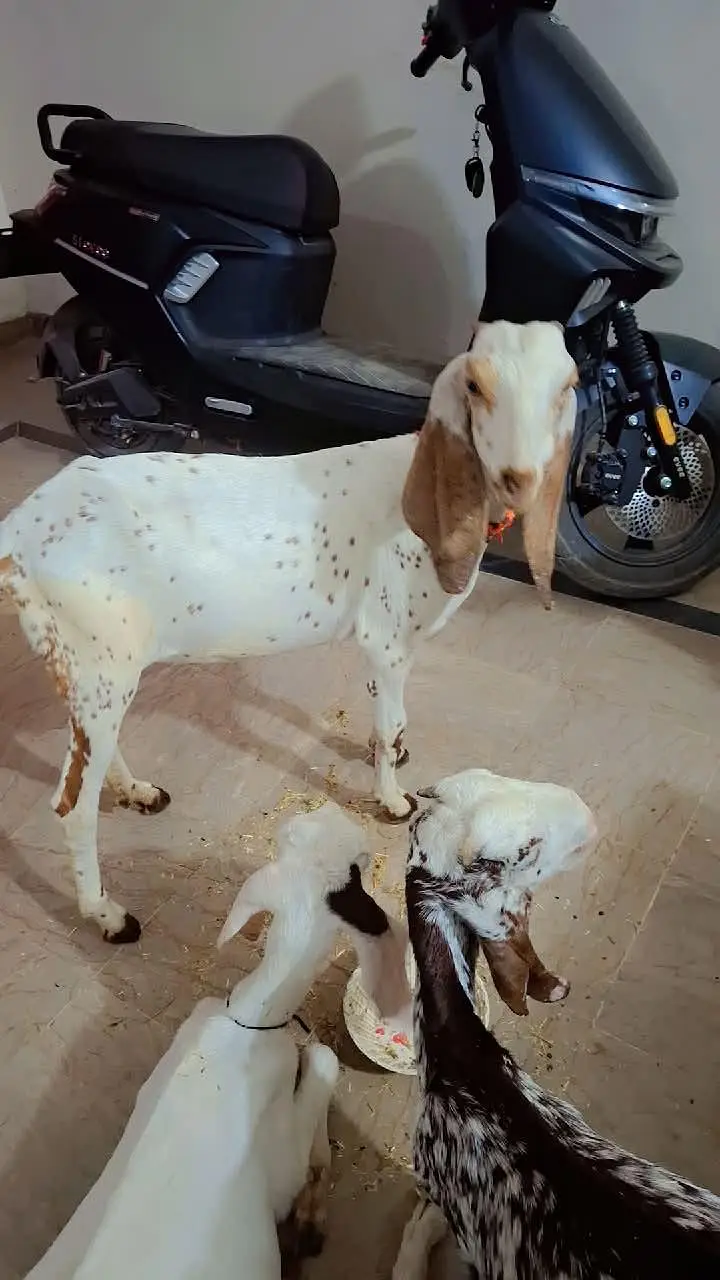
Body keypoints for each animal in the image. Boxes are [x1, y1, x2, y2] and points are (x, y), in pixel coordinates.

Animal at [0, 321, 578, 940]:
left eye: (565, 387)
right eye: (476, 385)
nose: (519, 477)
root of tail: (19, 530)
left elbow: (383, 716)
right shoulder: (388, 641)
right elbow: (393, 723)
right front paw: (393, 800)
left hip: (88, 667)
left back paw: (135, 790)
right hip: (101, 664)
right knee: (71, 806)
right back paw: (107, 914)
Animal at [25, 802, 409, 1280]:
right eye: (361, 864)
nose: (331, 810)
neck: (253, 1015)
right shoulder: (283, 1167)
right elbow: (323, 1059)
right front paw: (312, 1208)